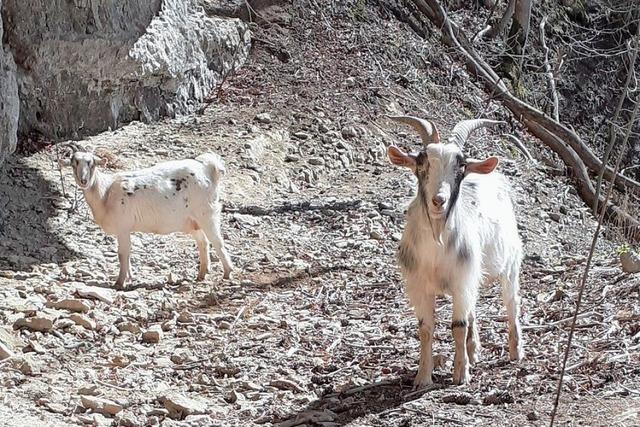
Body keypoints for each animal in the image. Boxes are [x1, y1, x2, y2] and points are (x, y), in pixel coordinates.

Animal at [58, 142, 234, 290]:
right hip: (192, 221)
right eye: (74, 163)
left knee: (218, 242)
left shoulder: (123, 227)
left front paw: (119, 282)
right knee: (203, 242)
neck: (105, 192)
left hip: (207, 213)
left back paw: (227, 273)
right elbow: (127, 253)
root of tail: (208, 168)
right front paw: (129, 277)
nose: (83, 180)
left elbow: (122, 254)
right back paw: (201, 274)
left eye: (92, 163)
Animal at [388, 117, 524, 388]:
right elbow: (425, 328)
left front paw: (461, 374)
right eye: (421, 162)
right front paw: (422, 377)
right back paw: (473, 351)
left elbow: (458, 326)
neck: (436, 250)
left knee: (511, 303)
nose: (439, 200)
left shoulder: (462, 280)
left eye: (460, 166)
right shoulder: (421, 285)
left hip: (510, 264)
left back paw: (515, 352)